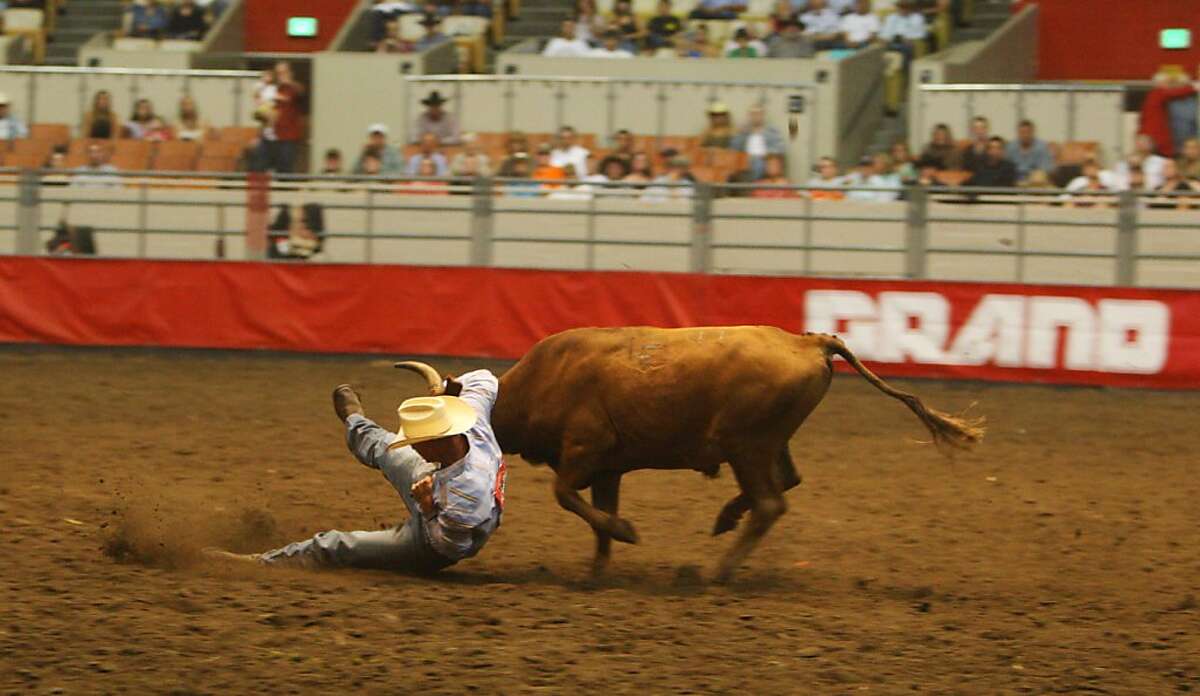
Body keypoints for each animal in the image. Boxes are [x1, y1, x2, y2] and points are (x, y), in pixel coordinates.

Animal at [396, 326, 984, 582]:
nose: (430, 476)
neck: (546, 378)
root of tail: (809, 341)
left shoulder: (587, 450)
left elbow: (567, 495)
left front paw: (626, 533)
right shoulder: (610, 465)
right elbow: (597, 512)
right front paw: (599, 566)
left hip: (749, 444)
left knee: (772, 502)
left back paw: (717, 570)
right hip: (770, 443)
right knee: (785, 482)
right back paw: (726, 519)